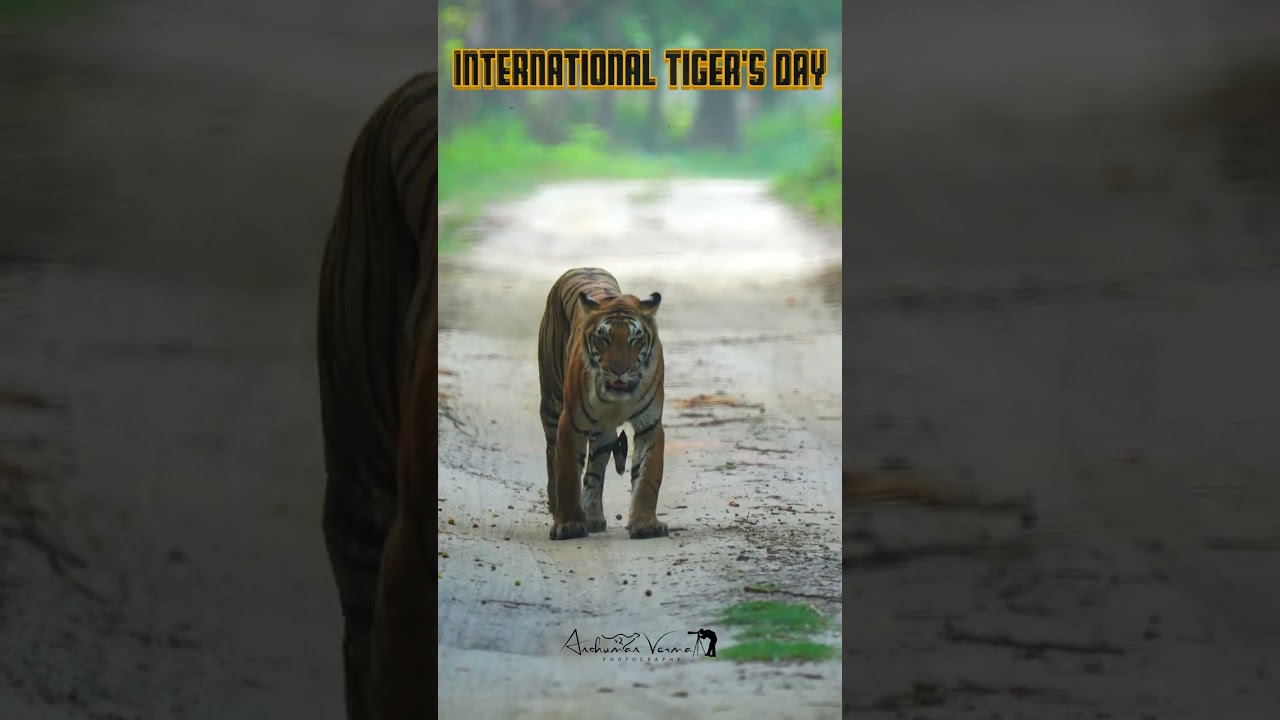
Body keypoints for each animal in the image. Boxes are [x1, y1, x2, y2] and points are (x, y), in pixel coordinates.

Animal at [537, 267, 669, 541]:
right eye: (603, 340)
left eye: (634, 340)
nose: (619, 370)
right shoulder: (571, 423)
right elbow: (567, 474)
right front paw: (568, 524)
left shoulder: (650, 425)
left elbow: (648, 477)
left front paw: (646, 524)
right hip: (551, 403)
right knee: (551, 456)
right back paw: (557, 508)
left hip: (602, 433)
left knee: (594, 472)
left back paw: (593, 517)